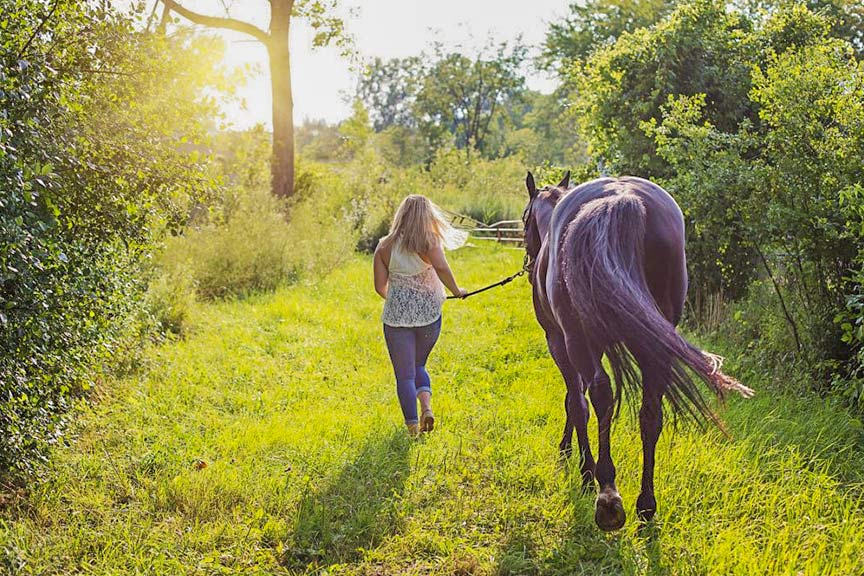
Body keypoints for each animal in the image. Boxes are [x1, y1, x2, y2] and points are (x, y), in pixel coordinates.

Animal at [524, 171, 752, 532]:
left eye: (523, 220)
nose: (530, 262)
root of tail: (622, 197)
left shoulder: (559, 341)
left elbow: (575, 401)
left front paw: (581, 468)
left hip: (578, 340)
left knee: (600, 396)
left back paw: (607, 496)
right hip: (654, 343)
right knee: (650, 414)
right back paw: (646, 505)